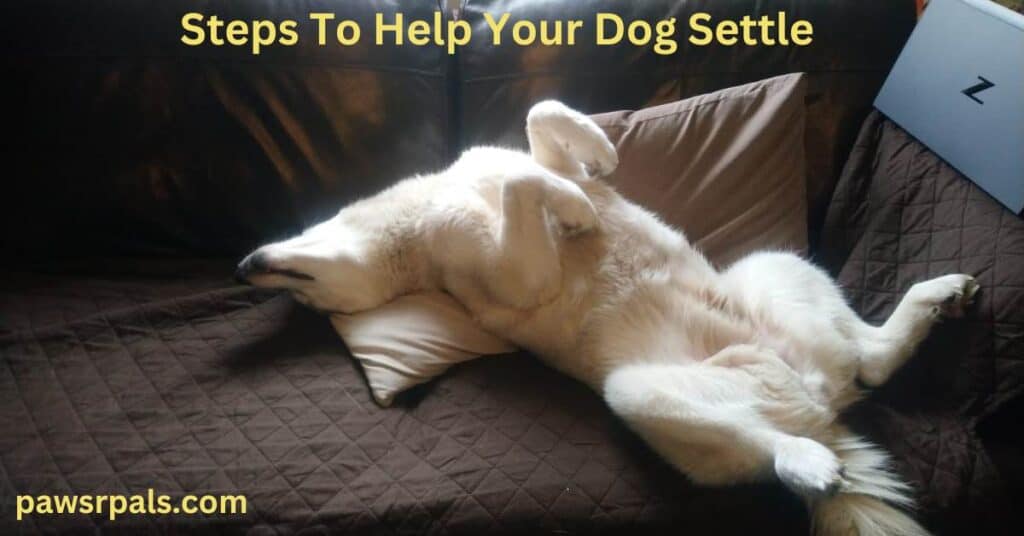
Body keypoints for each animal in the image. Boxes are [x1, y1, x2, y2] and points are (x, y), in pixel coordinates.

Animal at [234, 100, 974, 536]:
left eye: (305, 296)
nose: (243, 267)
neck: (417, 226)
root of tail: (821, 413)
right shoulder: (513, 277)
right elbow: (526, 183)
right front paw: (577, 211)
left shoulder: (525, 161)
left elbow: (541, 124)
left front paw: (598, 155)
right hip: (639, 391)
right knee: (769, 446)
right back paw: (810, 463)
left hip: (774, 267)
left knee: (868, 361)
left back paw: (938, 296)